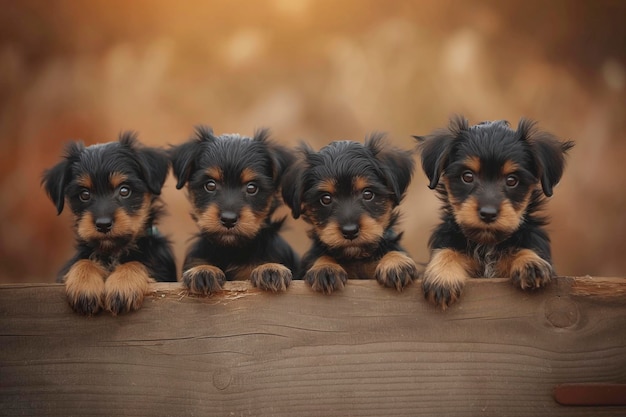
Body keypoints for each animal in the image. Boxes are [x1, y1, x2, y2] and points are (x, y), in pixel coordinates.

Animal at [40, 132, 176, 316]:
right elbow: (83, 261)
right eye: (84, 194)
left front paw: (123, 284)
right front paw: (84, 283)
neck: (113, 252)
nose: (103, 224)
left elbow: (138, 262)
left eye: (124, 190)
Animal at [168, 126, 298, 292]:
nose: (228, 220)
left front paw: (270, 268)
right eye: (210, 185)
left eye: (251, 188)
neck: (231, 249)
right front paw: (203, 270)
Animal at [280, 133, 416, 292]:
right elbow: (322, 256)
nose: (350, 231)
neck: (356, 257)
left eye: (368, 194)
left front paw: (395, 262)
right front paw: (326, 267)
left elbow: (390, 249)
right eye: (325, 199)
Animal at [412, 115, 572, 308]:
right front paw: (443, 274)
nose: (488, 214)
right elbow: (447, 250)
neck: (487, 244)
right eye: (467, 176)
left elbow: (520, 249)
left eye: (512, 180)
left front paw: (530, 262)